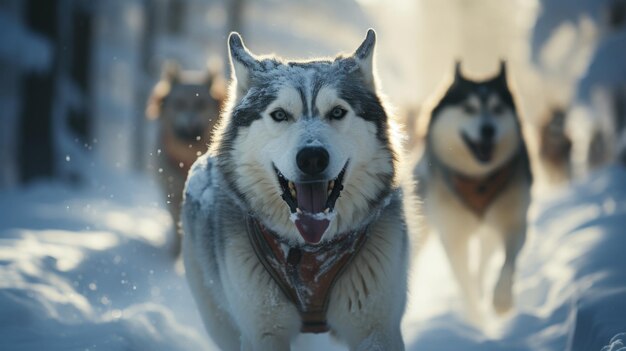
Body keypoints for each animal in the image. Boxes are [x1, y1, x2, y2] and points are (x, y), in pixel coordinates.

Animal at [146, 62, 224, 258]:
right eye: (179, 103)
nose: (191, 124)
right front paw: (176, 253)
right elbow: (177, 225)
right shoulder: (172, 193)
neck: (188, 157)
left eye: (201, 104)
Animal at [180, 30, 420, 351]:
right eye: (280, 114)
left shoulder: (376, 330)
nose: (312, 158)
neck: (310, 251)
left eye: (337, 112)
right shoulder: (263, 333)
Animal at [414, 62, 532, 324]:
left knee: (484, 261)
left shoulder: (514, 221)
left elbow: (509, 261)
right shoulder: (453, 235)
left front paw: (502, 299)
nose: (488, 130)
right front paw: (475, 319)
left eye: (498, 108)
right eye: (469, 108)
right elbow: (463, 280)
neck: (478, 180)